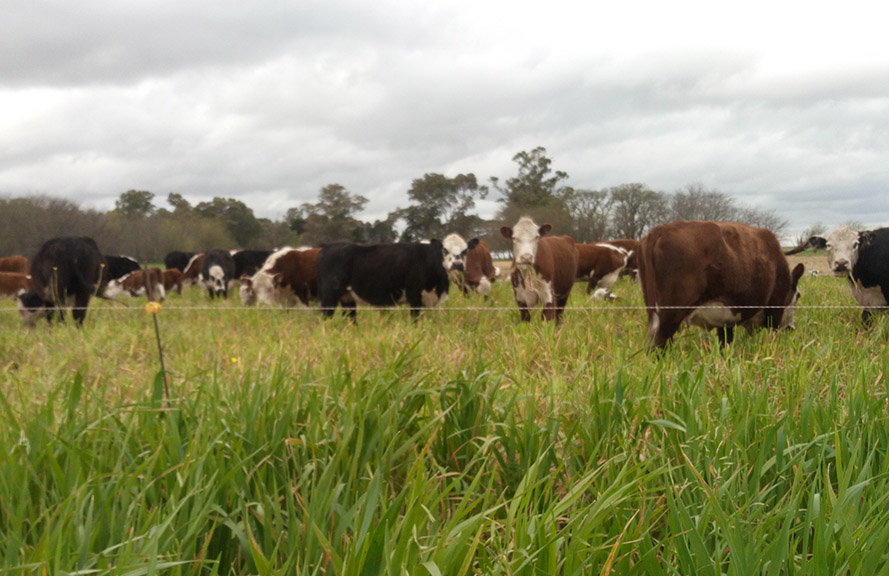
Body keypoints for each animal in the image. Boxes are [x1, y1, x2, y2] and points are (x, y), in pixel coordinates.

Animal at [314, 240, 450, 320]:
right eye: (446, 253)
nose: (454, 265)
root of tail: (325, 248)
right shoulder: (414, 295)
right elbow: (414, 318)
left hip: (347, 297)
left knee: (350, 318)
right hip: (330, 296)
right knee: (326, 316)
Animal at [640, 219, 804, 346]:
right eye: (798, 295)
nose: (791, 328)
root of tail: (660, 230)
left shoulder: (725, 321)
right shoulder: (775, 309)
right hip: (671, 314)